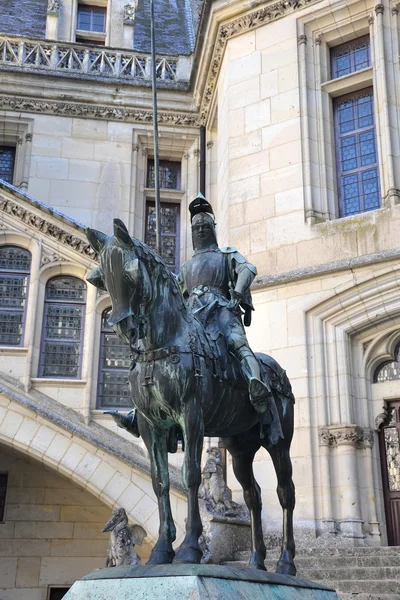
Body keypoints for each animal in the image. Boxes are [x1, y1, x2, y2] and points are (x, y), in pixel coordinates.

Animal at [86, 218, 296, 576]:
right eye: (101, 277)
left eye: (130, 272)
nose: (124, 328)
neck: (162, 345)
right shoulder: (151, 426)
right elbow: (160, 481)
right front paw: (161, 549)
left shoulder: (191, 417)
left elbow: (191, 477)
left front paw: (189, 547)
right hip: (240, 448)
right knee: (253, 496)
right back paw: (256, 560)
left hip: (279, 443)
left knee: (285, 493)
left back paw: (286, 562)